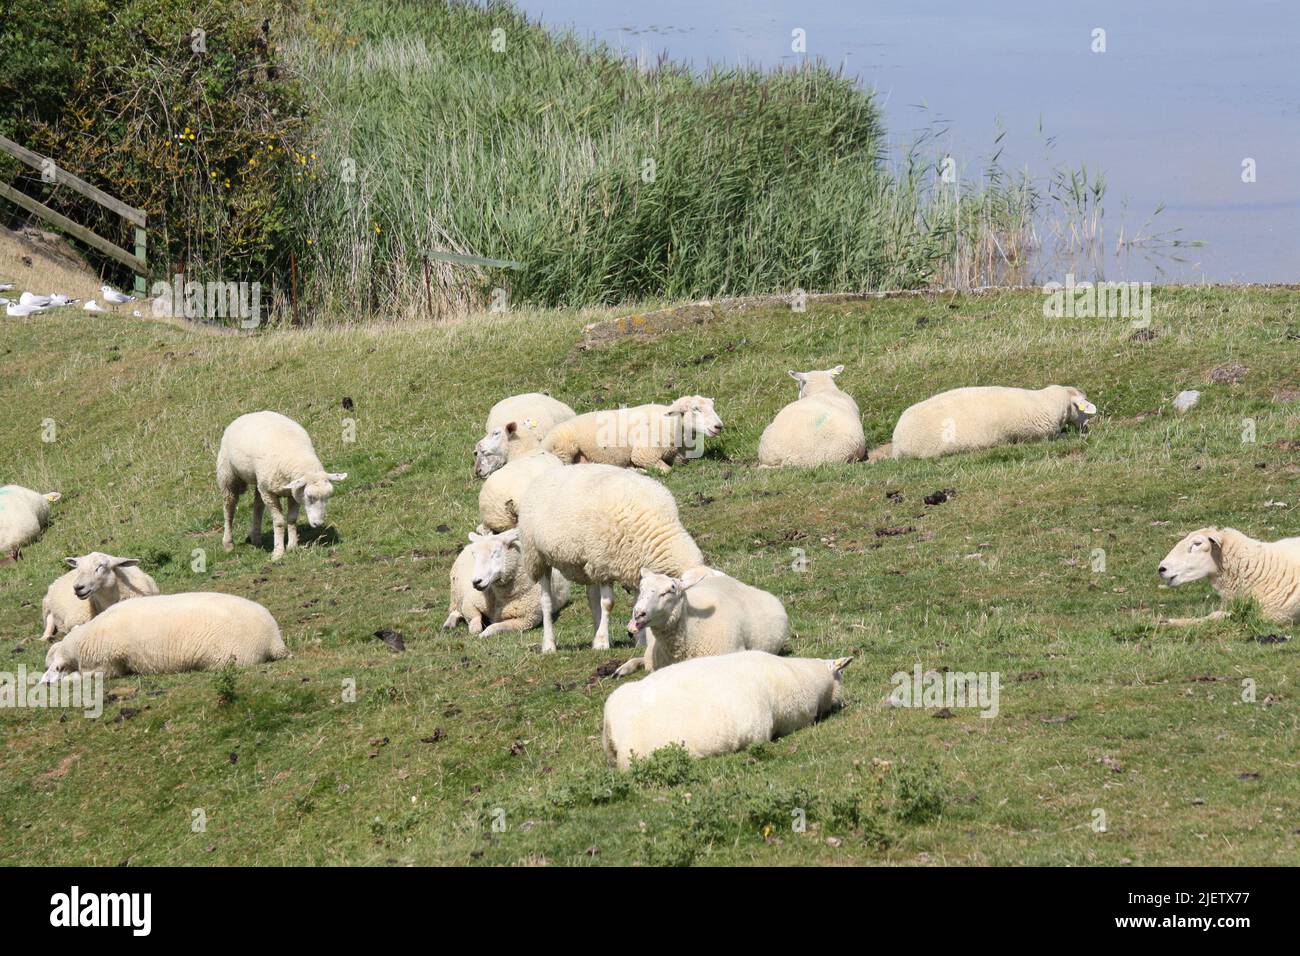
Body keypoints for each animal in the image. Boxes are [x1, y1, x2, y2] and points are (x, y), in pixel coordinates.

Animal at [217, 411, 347, 561]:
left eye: (328, 497)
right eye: (309, 496)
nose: (318, 524)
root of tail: (250, 414)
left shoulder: (294, 492)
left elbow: (292, 519)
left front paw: (292, 546)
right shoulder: (270, 493)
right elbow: (279, 522)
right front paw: (278, 552)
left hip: (260, 481)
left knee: (258, 506)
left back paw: (256, 538)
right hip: (228, 474)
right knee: (229, 507)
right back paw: (228, 543)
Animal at [515, 463, 705, 653]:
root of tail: (553, 470)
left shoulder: (632, 567)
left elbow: (634, 602)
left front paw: (640, 641)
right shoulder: (604, 565)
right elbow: (608, 604)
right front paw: (602, 642)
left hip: (586, 561)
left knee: (592, 598)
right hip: (537, 557)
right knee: (546, 601)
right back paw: (549, 644)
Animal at [541, 396, 723, 473]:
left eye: (713, 406)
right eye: (695, 409)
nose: (719, 426)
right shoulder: (644, 453)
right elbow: (666, 470)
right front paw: (639, 469)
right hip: (563, 449)